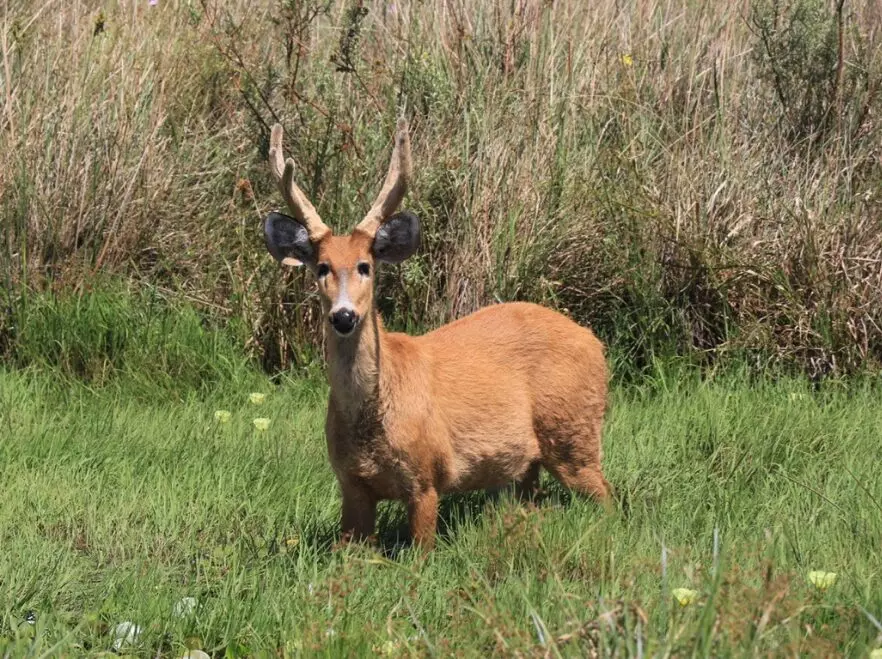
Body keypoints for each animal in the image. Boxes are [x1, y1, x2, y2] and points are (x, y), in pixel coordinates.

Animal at [262, 118, 611, 550]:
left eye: (365, 266)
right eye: (322, 268)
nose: (343, 316)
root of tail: (594, 341)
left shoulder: (427, 476)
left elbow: (421, 552)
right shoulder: (351, 484)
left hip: (573, 431)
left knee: (607, 497)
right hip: (530, 460)